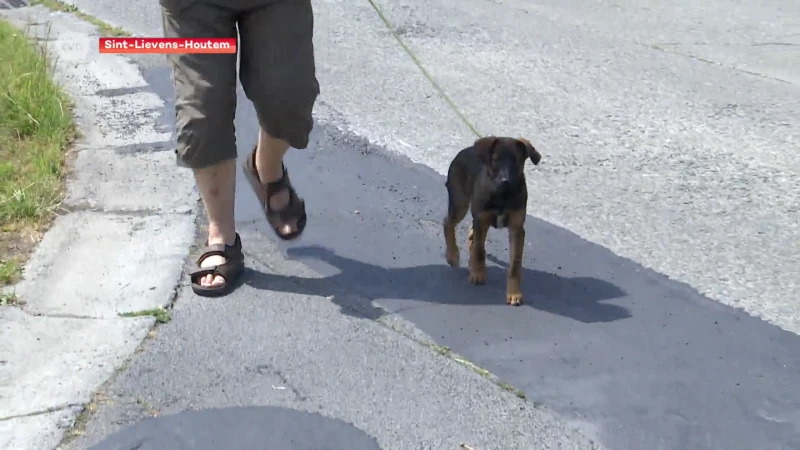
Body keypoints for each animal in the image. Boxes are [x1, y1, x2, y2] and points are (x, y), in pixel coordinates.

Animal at [440, 136, 540, 306]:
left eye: (516, 160)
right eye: (495, 160)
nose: (505, 180)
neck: (503, 195)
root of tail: (465, 150)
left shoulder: (517, 228)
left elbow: (515, 265)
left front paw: (514, 293)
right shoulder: (482, 220)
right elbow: (479, 250)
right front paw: (478, 273)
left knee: (469, 231)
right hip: (460, 203)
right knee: (448, 222)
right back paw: (452, 255)